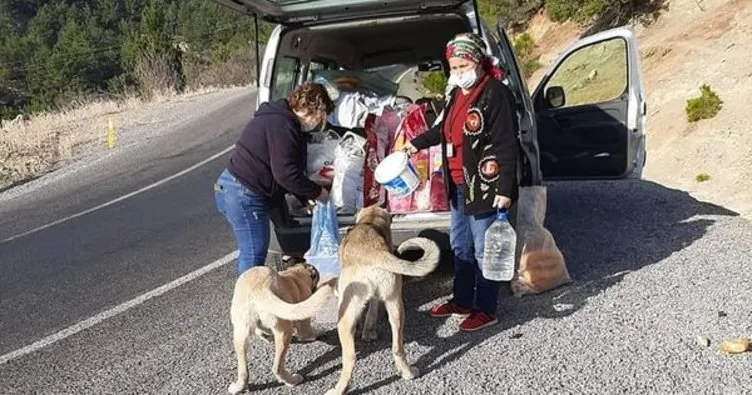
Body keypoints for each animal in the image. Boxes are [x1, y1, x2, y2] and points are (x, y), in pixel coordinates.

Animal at [228, 258, 336, 394]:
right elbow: (307, 334)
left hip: (240, 333)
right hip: (284, 330)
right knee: (277, 367)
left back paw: (238, 386)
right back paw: (292, 380)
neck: (295, 275)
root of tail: (259, 290)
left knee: (243, 371)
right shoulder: (303, 323)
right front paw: (319, 332)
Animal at [324, 204, 440, 395]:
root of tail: (374, 253)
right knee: (398, 348)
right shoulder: (379, 299)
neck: (370, 221)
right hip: (396, 307)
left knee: (350, 358)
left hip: (344, 319)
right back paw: (408, 372)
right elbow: (371, 313)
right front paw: (369, 333)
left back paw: (338, 389)